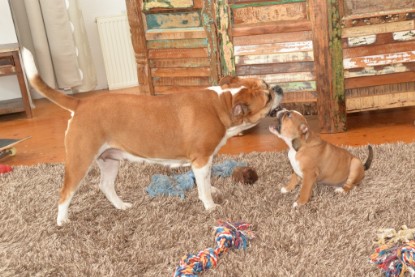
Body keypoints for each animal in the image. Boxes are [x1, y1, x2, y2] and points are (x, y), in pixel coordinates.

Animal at [21, 48, 284, 224]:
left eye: (266, 83)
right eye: (267, 96)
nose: (279, 88)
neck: (223, 103)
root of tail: (80, 103)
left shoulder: (204, 161)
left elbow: (205, 181)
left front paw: (211, 189)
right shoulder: (200, 159)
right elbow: (204, 188)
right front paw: (210, 206)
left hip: (110, 159)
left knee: (105, 186)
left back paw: (122, 206)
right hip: (80, 160)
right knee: (65, 193)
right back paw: (62, 221)